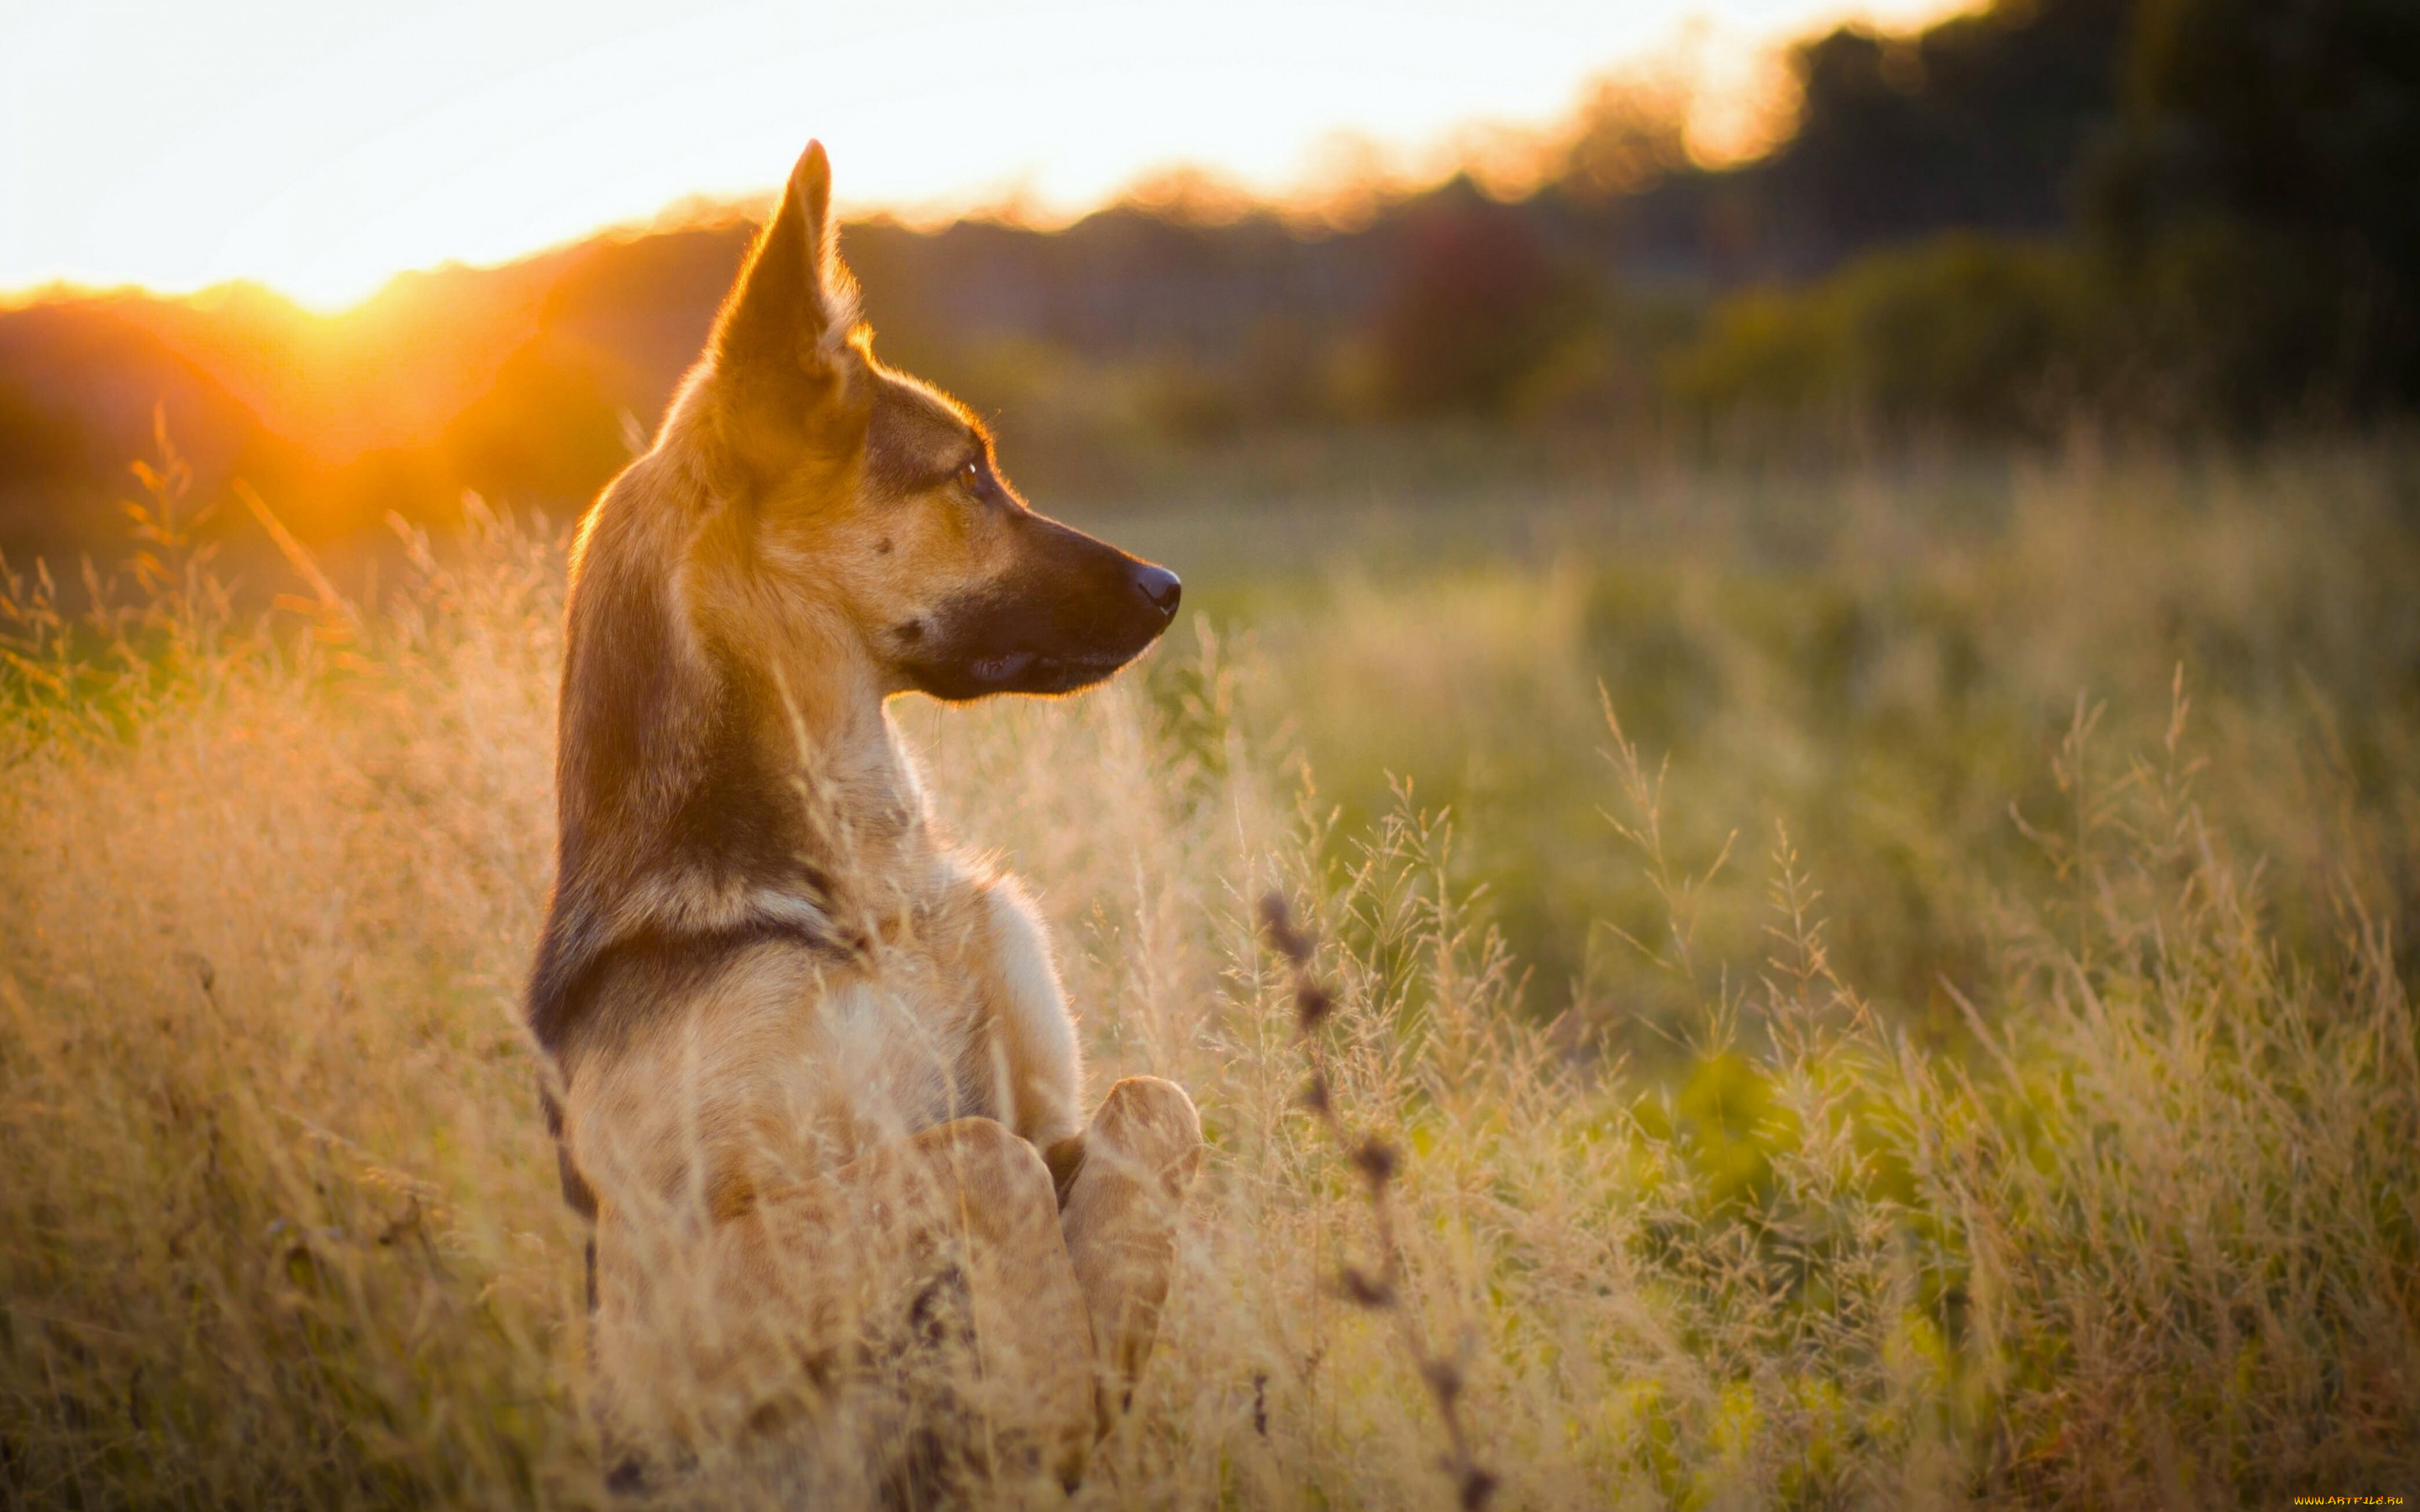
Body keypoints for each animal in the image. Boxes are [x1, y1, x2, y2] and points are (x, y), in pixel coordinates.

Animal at [532, 138, 1210, 1499]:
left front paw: (1082, 1382)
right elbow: (980, 1159)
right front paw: (1046, 1399)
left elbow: (1145, 1108)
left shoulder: (1061, 1115)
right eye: (969, 475)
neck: (861, 900)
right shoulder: (654, 1314)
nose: (1168, 587)